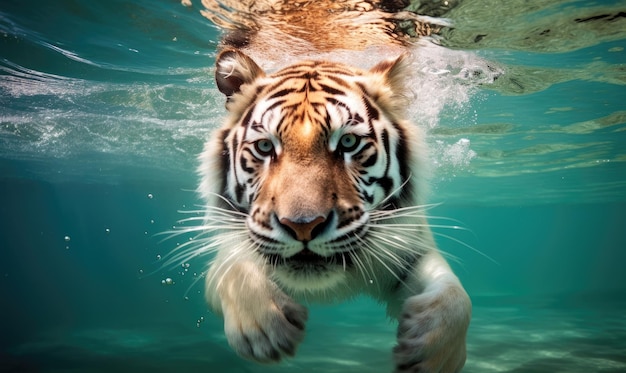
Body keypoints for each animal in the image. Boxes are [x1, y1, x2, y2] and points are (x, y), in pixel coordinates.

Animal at [189, 0, 468, 372]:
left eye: (348, 142)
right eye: (264, 147)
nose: (303, 226)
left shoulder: (411, 249)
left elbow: (455, 294)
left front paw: (433, 353)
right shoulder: (229, 245)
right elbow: (234, 268)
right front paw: (266, 329)